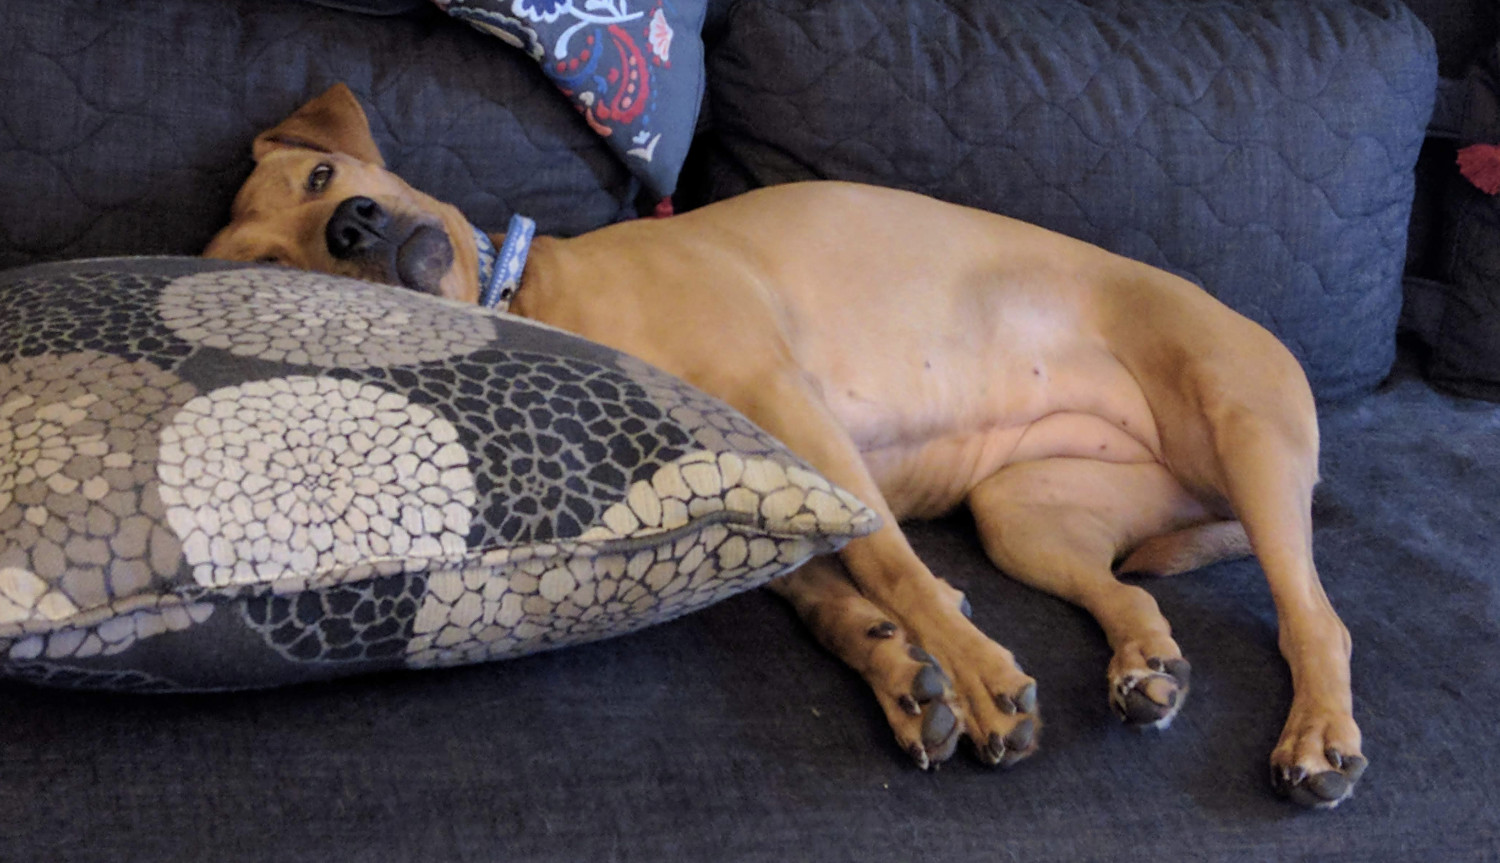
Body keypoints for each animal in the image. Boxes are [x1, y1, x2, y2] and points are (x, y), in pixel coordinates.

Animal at [205, 84, 1368, 804]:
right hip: (1025, 517)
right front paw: (906, 677)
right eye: (277, 273)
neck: (532, 298)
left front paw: (971, 671)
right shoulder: (752, 499)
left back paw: (1317, 735)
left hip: (1242, 424)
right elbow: (834, 601)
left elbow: (893, 565)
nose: (354, 224)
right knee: (1127, 588)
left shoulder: (787, 409)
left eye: (320, 180)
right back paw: (1143, 663)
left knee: (1315, 616)